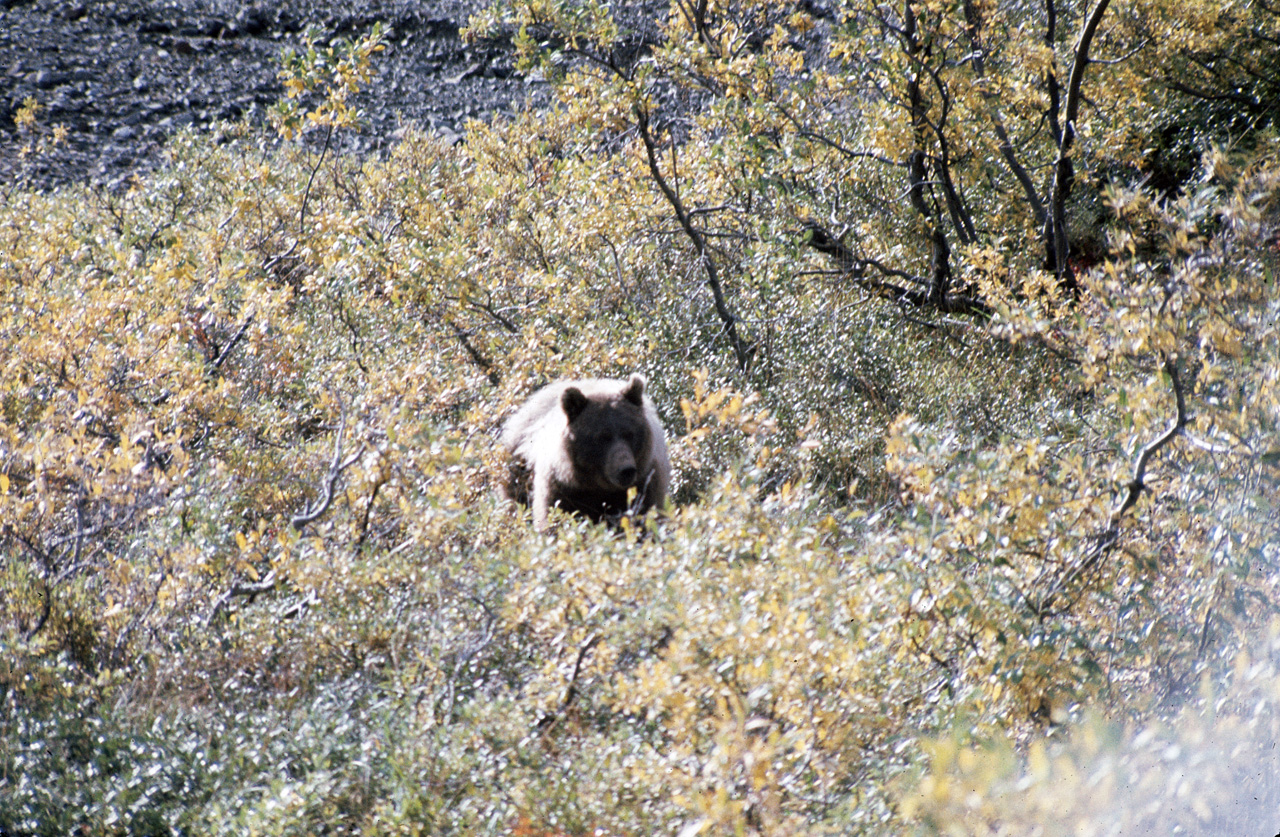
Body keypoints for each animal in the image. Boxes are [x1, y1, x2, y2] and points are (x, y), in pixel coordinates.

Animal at [504, 376, 675, 532]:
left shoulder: (645, 482)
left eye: (629, 434)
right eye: (602, 437)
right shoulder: (562, 488)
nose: (626, 470)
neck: (597, 486)